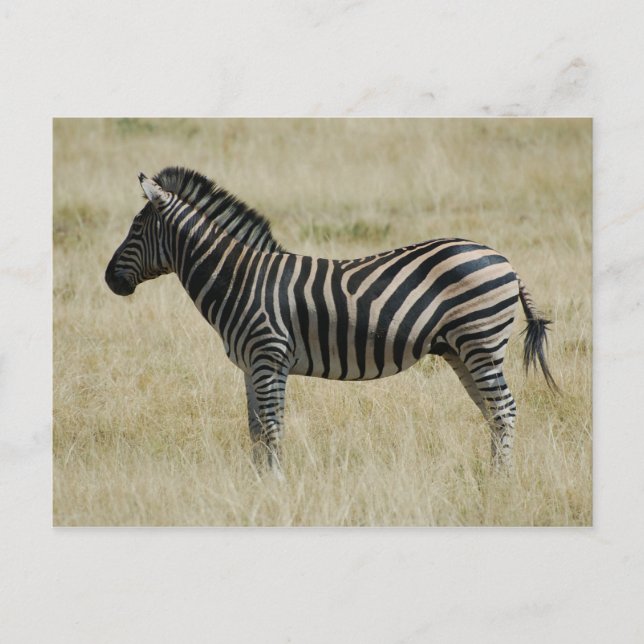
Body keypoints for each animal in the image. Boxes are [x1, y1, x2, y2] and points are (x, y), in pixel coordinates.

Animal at [105, 166, 557, 479]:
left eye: (135, 227)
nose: (109, 279)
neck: (239, 278)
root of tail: (505, 261)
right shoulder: (251, 364)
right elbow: (254, 427)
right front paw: (257, 483)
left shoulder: (269, 356)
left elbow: (272, 425)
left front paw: (276, 483)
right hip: (461, 350)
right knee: (492, 412)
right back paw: (491, 476)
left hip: (481, 343)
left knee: (504, 409)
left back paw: (501, 482)